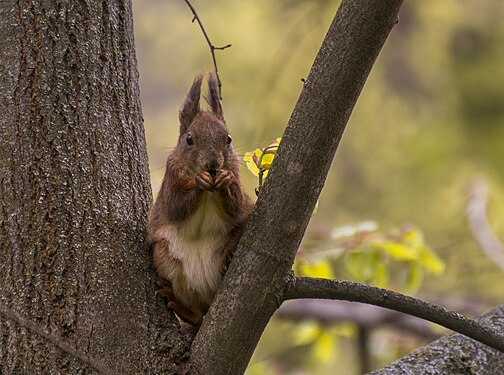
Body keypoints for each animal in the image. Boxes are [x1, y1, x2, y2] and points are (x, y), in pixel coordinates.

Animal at [148, 72, 254, 328]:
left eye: (228, 138)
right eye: (189, 139)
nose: (213, 165)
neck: (209, 193)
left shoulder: (240, 191)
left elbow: (237, 206)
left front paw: (224, 180)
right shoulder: (170, 183)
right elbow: (176, 207)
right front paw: (199, 180)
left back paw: (228, 257)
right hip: (164, 258)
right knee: (196, 314)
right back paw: (179, 304)